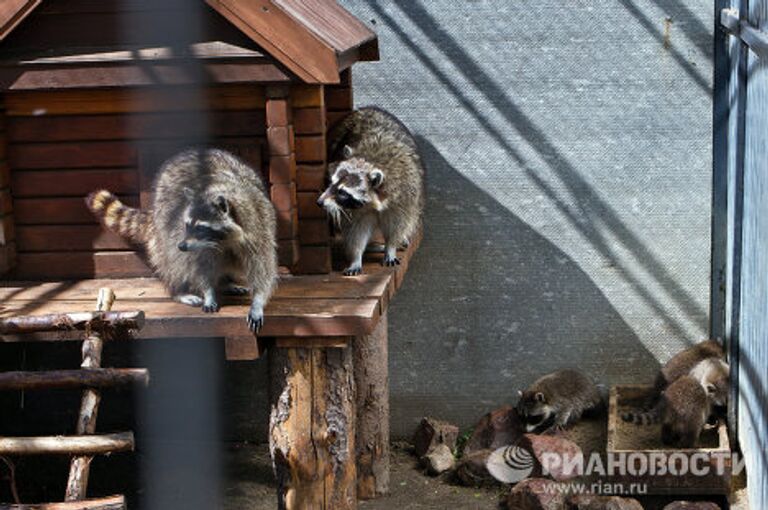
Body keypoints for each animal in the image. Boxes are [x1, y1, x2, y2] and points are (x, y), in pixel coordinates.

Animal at [85, 146, 278, 334]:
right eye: (187, 225)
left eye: (201, 228)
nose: (182, 246)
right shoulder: (192, 240)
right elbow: (200, 266)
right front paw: (208, 292)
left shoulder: (259, 229)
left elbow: (262, 267)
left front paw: (258, 301)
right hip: (164, 224)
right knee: (175, 261)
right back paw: (178, 291)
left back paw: (225, 282)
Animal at [318, 105, 426, 276]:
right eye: (331, 183)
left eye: (342, 192)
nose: (320, 202)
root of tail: (368, 108)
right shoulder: (355, 211)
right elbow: (356, 232)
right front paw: (356, 257)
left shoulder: (404, 195)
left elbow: (398, 224)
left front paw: (391, 246)